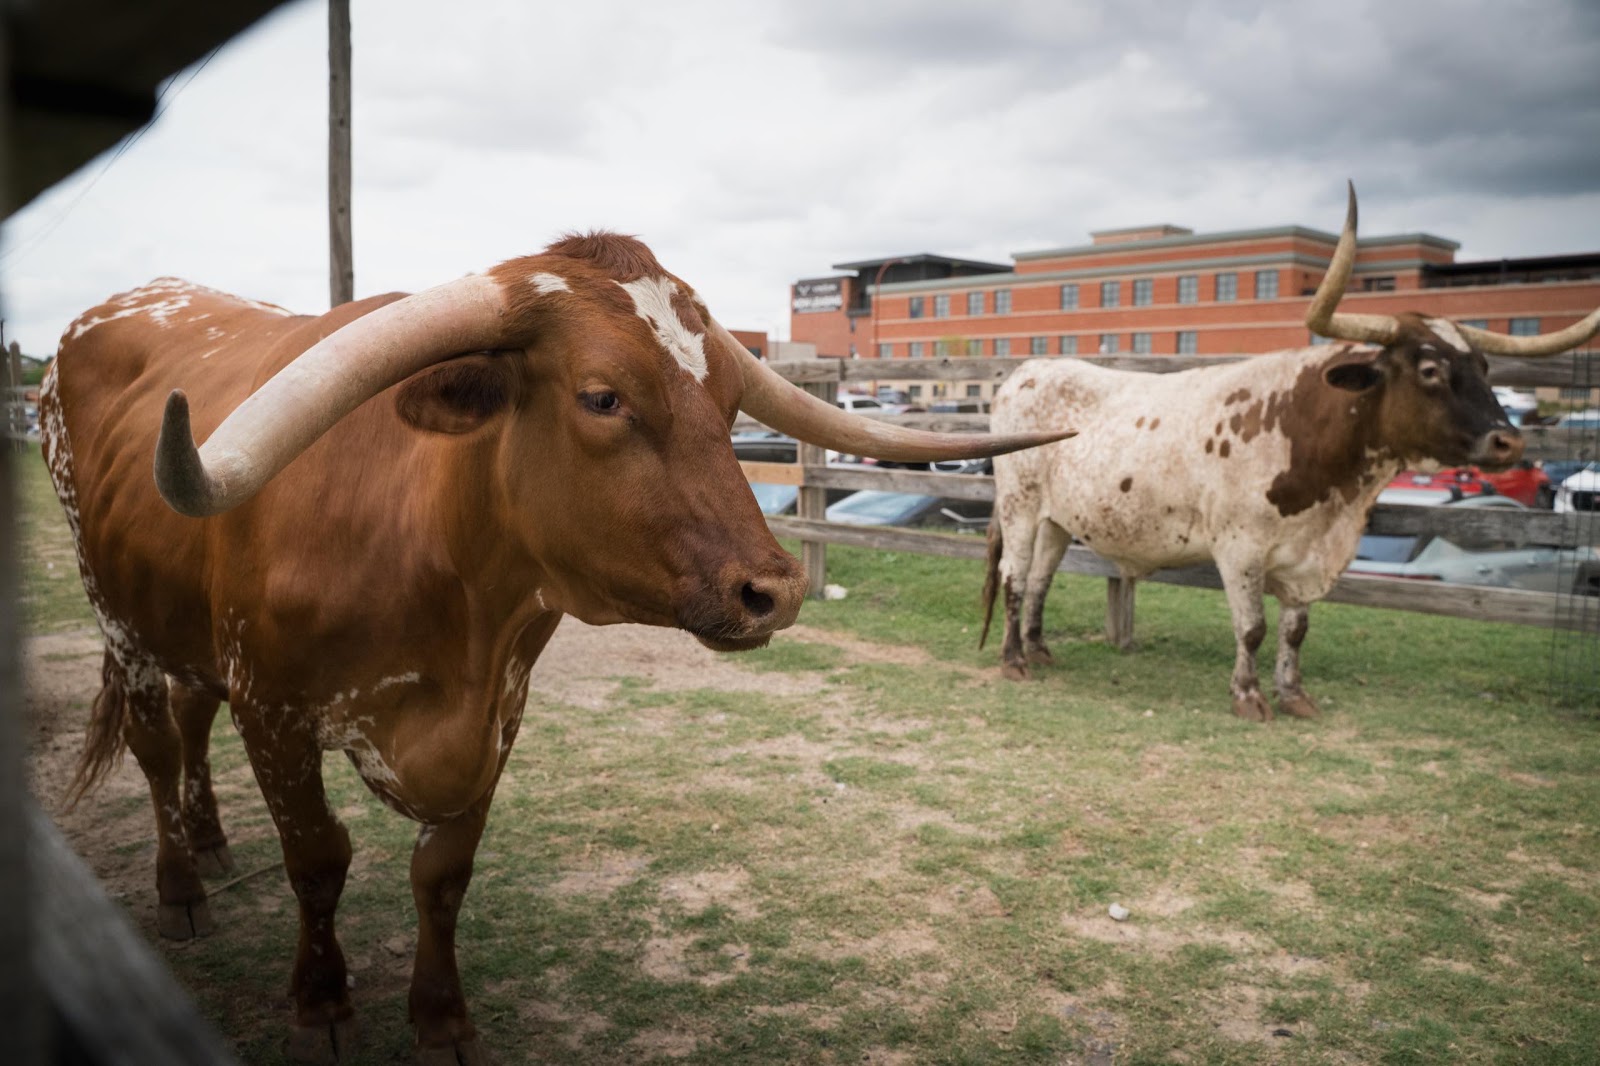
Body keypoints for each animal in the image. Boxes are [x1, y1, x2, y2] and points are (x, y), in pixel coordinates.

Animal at [42, 232, 1070, 1065]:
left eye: (731, 403)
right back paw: (181, 888)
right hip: (118, 620)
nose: (774, 591)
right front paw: (322, 1006)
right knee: (156, 744)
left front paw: (443, 1022)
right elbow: (319, 861)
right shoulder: (274, 712)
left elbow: (442, 876)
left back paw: (213, 843)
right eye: (602, 396)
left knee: (189, 715)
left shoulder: (498, 718)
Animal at [981, 186, 1600, 722]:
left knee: (1040, 580)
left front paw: (1294, 695)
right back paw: (1012, 661)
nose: (1508, 441)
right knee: (1015, 576)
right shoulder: (1239, 549)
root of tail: (1027, 372)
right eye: (1429, 369)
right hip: (1019, 505)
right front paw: (1249, 697)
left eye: (1485, 366)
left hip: (1058, 519)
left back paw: (1037, 649)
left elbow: (1295, 630)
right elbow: (1253, 627)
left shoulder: (1310, 557)